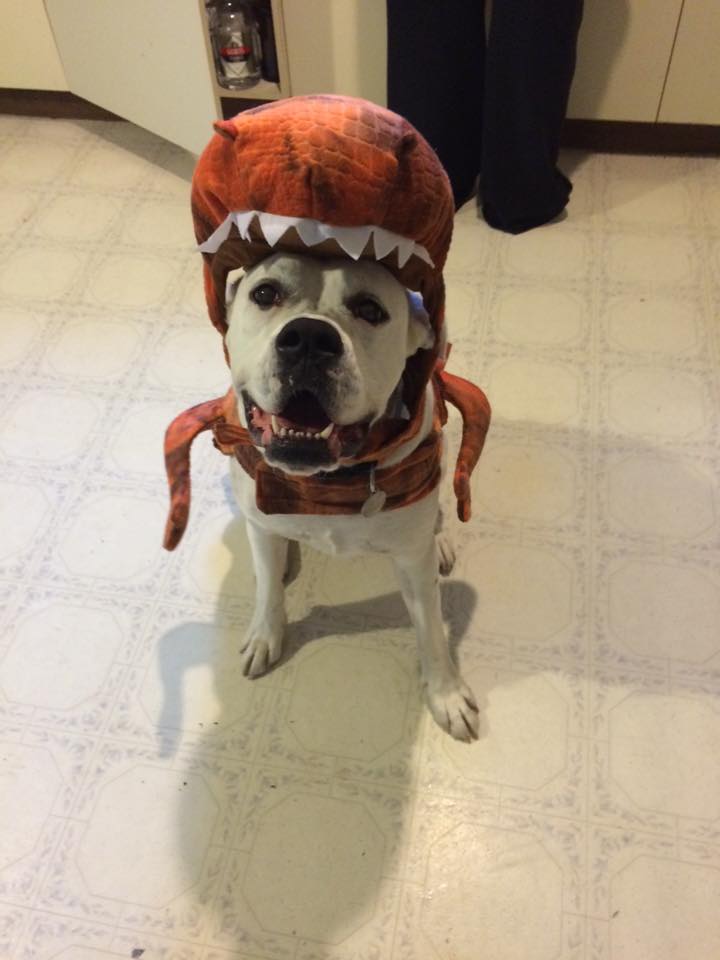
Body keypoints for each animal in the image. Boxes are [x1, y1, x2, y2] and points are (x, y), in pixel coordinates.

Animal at [225, 249, 480, 744]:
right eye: (264, 293)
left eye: (370, 309)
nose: (308, 337)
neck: (330, 480)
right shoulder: (260, 521)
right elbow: (267, 589)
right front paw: (266, 633)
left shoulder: (413, 566)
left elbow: (432, 631)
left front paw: (446, 695)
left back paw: (439, 540)